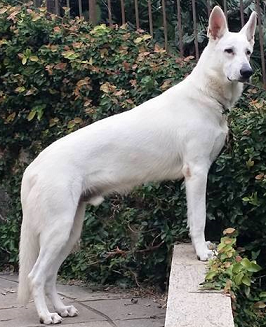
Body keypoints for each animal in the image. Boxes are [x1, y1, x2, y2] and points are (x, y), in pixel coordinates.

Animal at [17, 5, 256, 326]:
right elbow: (198, 219)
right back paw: (46, 315)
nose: (247, 72)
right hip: (58, 229)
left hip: (69, 232)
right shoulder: (196, 173)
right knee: (35, 275)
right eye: (229, 51)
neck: (206, 95)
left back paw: (62, 309)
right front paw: (201, 252)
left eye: (248, 52)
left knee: (50, 275)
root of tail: (34, 165)